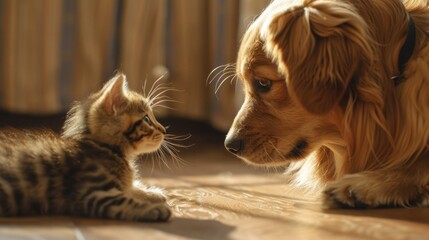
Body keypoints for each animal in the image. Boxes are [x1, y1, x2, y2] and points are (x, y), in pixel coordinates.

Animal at [0, 73, 171, 221]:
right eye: (147, 120)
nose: (164, 130)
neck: (105, 148)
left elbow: (130, 187)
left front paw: (152, 193)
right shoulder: (93, 193)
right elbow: (126, 202)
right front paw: (156, 208)